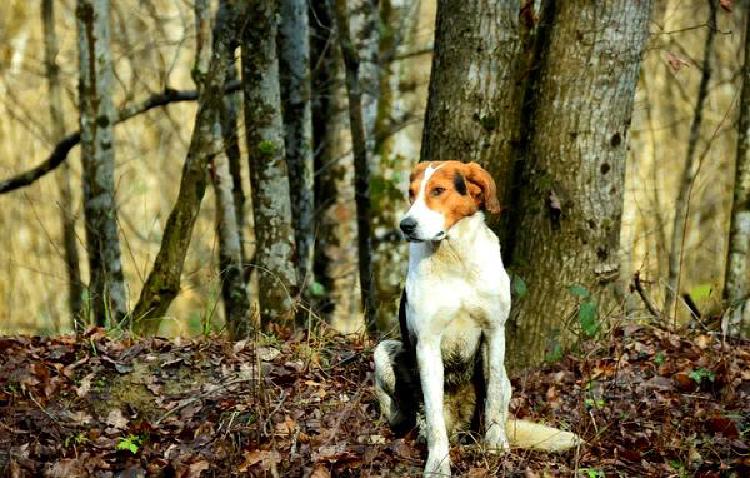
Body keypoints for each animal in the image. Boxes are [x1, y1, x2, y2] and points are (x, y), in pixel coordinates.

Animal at [374, 162, 580, 476]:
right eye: (411, 193)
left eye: (438, 190)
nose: (405, 226)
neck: (454, 255)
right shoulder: (427, 344)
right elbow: (433, 415)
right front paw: (438, 463)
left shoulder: (495, 331)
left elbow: (492, 392)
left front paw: (495, 444)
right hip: (382, 353)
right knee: (410, 414)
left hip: (505, 377)